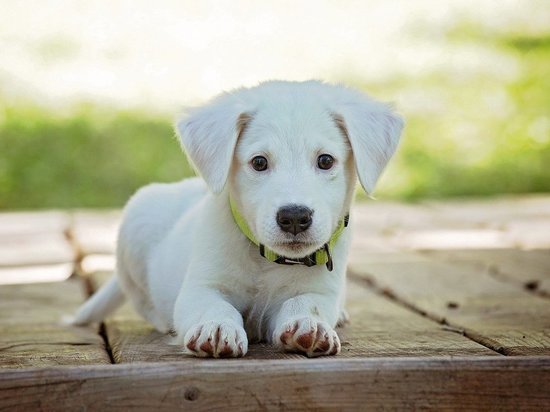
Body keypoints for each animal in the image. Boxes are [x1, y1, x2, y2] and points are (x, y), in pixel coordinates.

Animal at [73, 80, 404, 358]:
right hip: (136, 223)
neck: (266, 260)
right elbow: (214, 306)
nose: (294, 217)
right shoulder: (201, 287)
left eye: (325, 161)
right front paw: (217, 327)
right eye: (259, 162)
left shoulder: (320, 291)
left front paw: (308, 325)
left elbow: (306, 303)